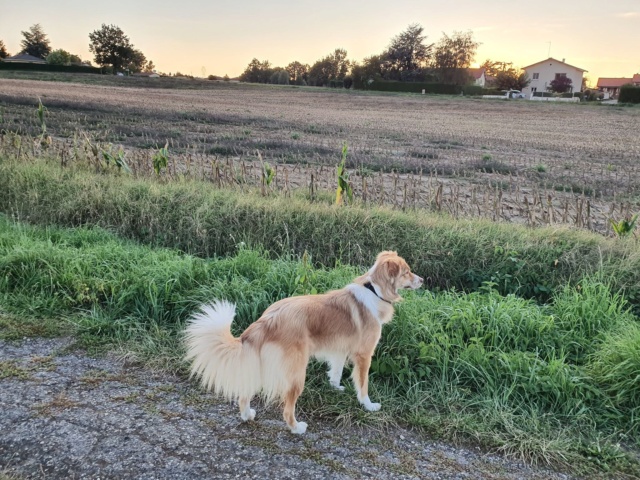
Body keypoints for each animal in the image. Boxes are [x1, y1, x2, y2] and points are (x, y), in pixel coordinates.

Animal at [182, 251, 422, 436]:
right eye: (407, 272)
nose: (422, 280)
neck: (375, 290)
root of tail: (266, 320)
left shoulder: (338, 350)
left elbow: (336, 371)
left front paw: (335, 388)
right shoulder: (364, 355)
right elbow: (362, 384)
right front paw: (368, 405)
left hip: (264, 365)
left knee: (245, 392)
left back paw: (247, 415)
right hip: (296, 372)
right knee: (287, 409)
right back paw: (296, 428)